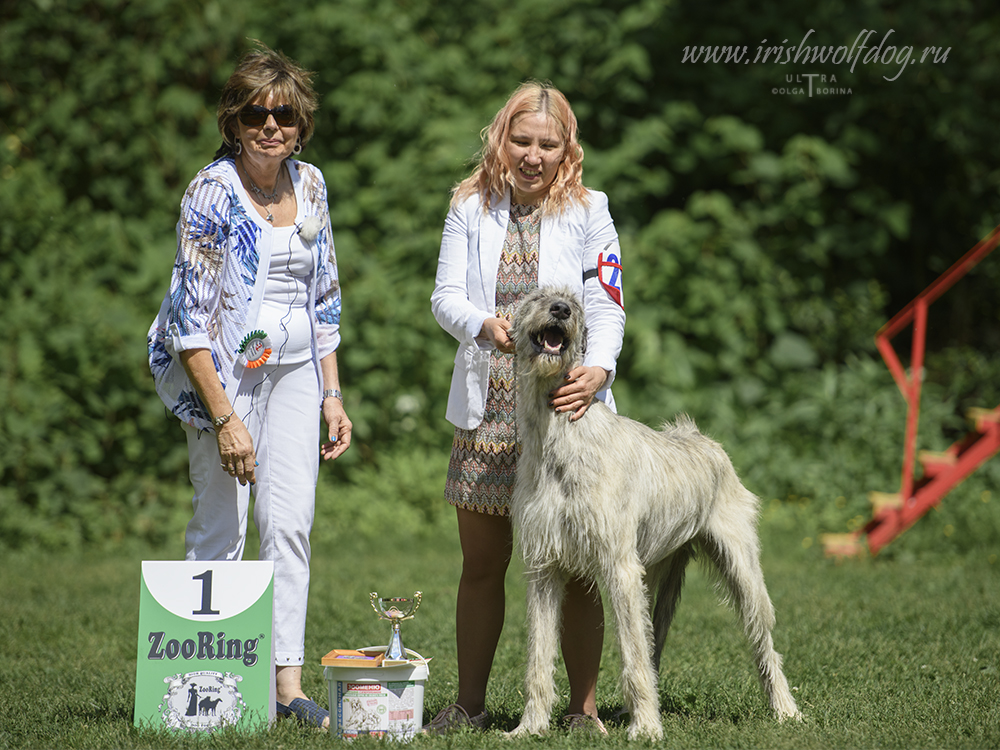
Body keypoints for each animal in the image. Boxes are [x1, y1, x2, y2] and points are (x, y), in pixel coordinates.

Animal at [508, 288, 796, 740]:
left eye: (575, 302)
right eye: (538, 296)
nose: (561, 310)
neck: (560, 436)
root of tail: (704, 439)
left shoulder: (621, 567)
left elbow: (631, 654)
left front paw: (645, 729)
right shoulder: (544, 567)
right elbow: (539, 657)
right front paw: (531, 726)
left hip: (742, 569)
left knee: (763, 641)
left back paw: (785, 709)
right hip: (659, 570)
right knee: (653, 640)